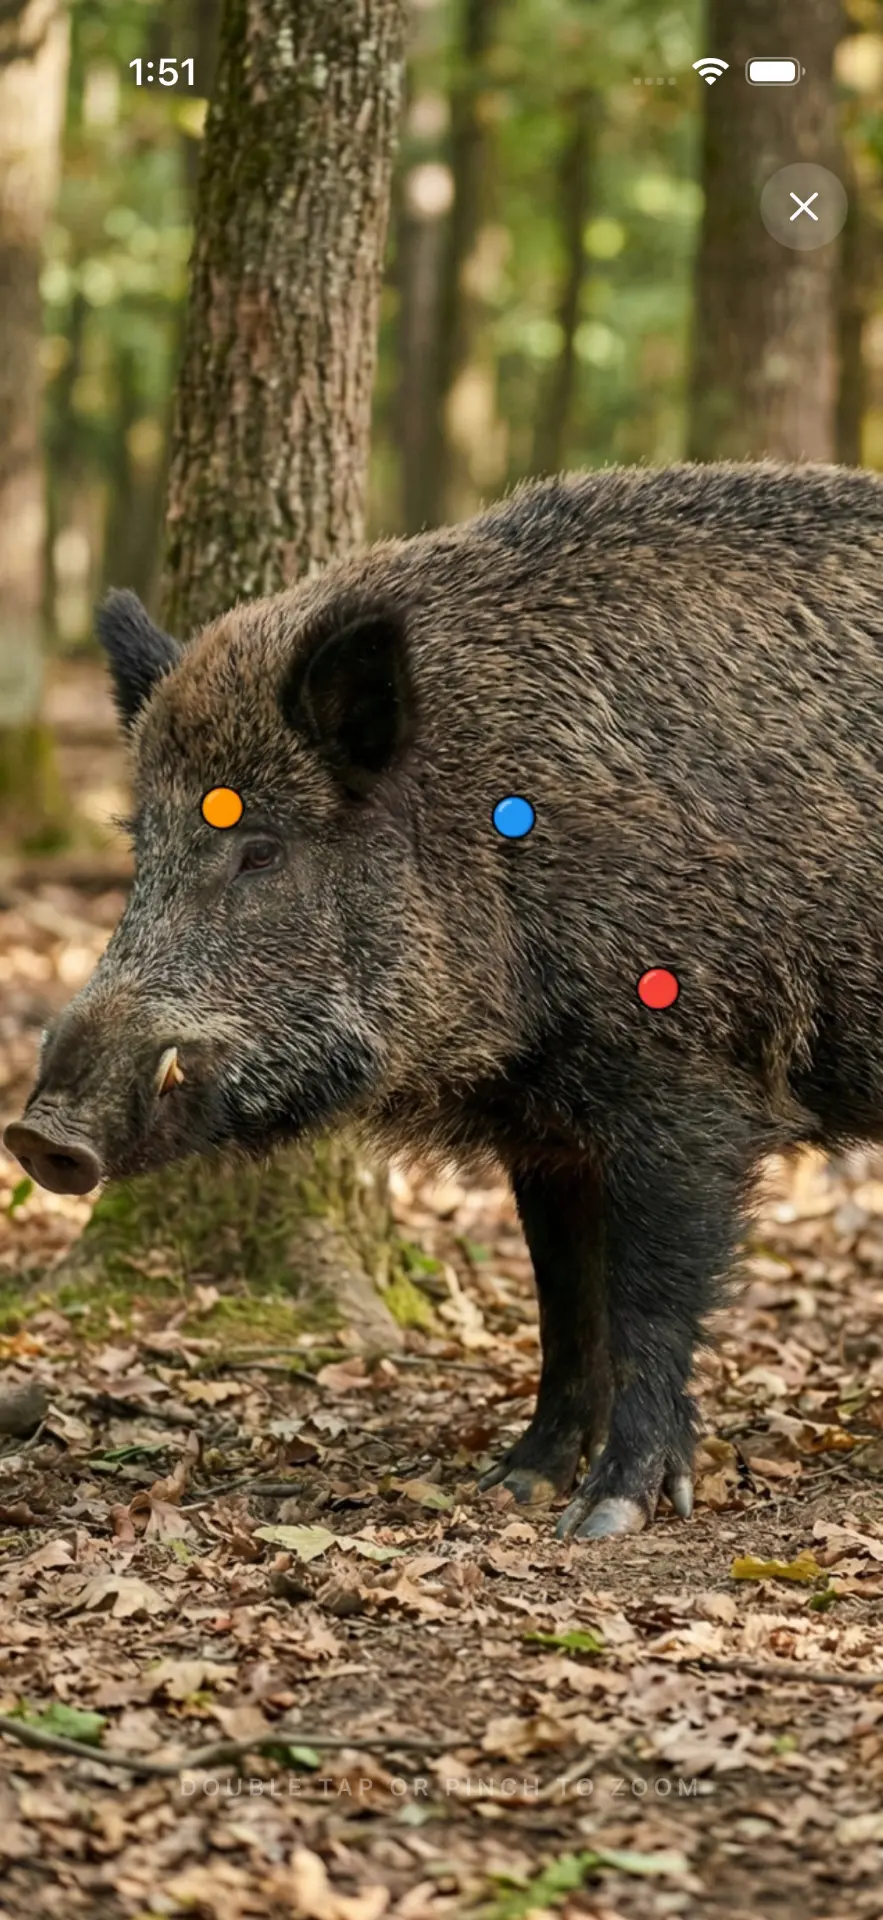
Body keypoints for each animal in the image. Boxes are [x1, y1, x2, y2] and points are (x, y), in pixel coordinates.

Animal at [7, 460, 883, 1540]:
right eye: (141, 849)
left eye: (261, 850)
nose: (42, 1134)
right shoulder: (544, 1127)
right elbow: (564, 1302)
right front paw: (513, 1484)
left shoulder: (688, 1083)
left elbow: (646, 1298)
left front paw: (605, 1516)